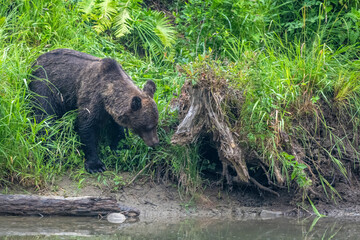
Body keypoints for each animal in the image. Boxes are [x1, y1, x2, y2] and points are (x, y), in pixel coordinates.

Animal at [30, 48, 160, 172]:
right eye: (148, 127)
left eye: (155, 124)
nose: (155, 142)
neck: (107, 96)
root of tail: (36, 60)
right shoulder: (93, 99)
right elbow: (87, 128)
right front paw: (95, 165)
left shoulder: (111, 112)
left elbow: (117, 129)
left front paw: (119, 148)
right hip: (45, 86)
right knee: (44, 118)